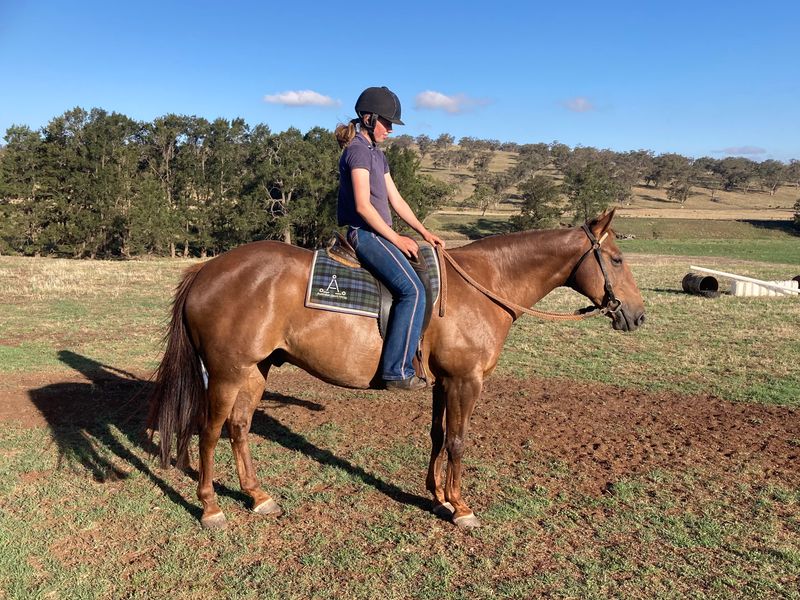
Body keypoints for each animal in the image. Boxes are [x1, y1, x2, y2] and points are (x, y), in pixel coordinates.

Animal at [148, 209, 645, 529]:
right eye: (618, 260)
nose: (637, 316)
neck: (483, 287)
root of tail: (206, 269)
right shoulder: (466, 381)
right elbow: (459, 442)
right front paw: (461, 507)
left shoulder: (444, 382)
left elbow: (439, 436)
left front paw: (438, 497)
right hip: (227, 373)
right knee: (210, 431)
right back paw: (211, 508)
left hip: (256, 369)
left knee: (239, 427)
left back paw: (258, 496)